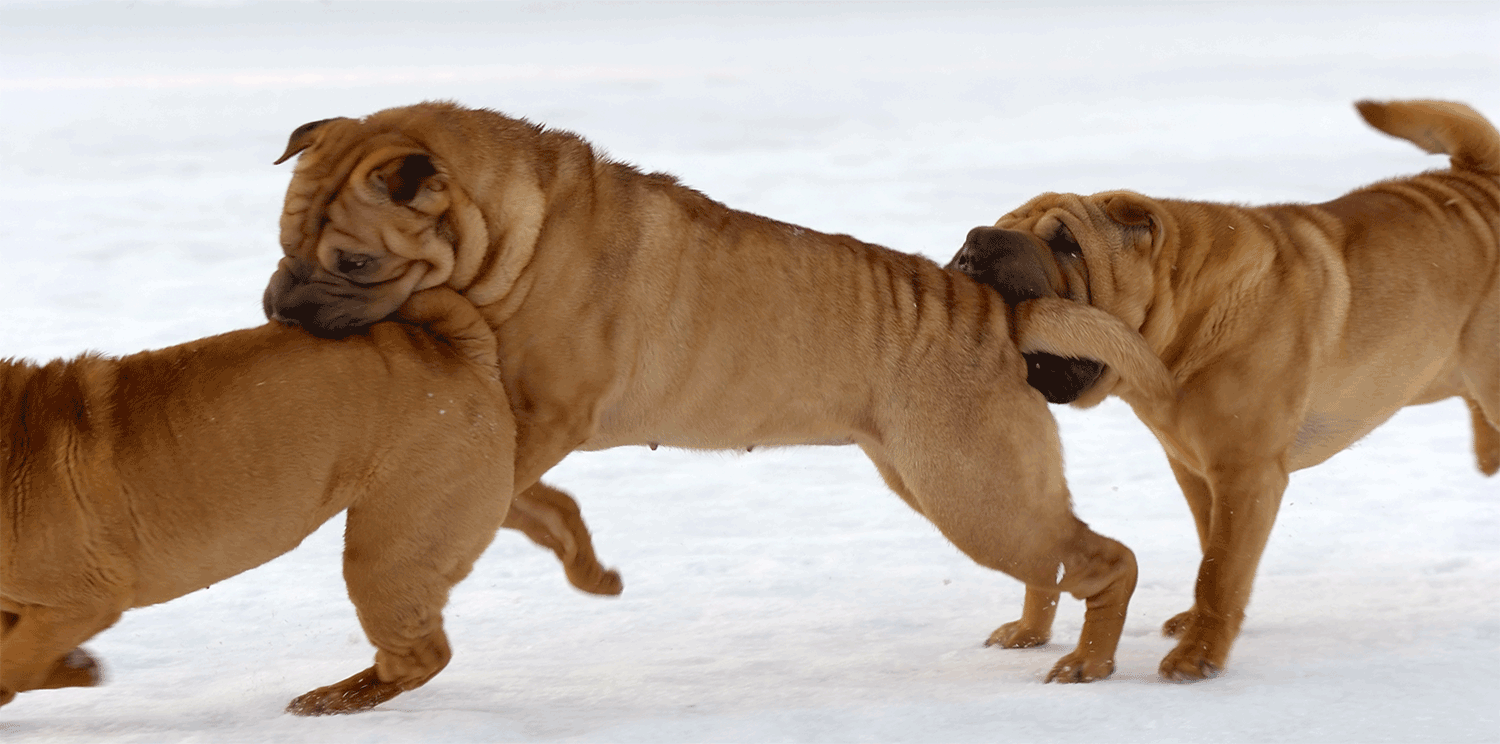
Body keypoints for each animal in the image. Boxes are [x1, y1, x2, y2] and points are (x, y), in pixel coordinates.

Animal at [1, 289, 609, 714]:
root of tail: (456, 346)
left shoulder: (78, 603)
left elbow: (13, 665)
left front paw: (65, 671)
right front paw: (79, 667)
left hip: (389, 548)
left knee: (418, 655)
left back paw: (329, 701)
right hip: (464, 499)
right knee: (552, 509)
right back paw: (593, 572)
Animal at [261, 100, 1182, 687]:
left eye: (354, 262)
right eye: (281, 239)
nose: (277, 305)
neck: (514, 234)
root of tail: (1003, 308)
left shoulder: (548, 409)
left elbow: (503, 482)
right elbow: (522, 497)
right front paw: (573, 552)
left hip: (973, 490)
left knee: (1108, 558)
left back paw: (1089, 661)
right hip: (953, 483)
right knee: (1060, 554)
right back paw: (1035, 631)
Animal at [948, 97, 1500, 681]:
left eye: (1067, 243)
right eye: (1001, 227)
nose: (978, 239)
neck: (1184, 319)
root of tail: (1477, 180)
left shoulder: (1245, 472)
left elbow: (1218, 569)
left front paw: (1197, 657)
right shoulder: (1195, 468)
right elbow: (1208, 544)